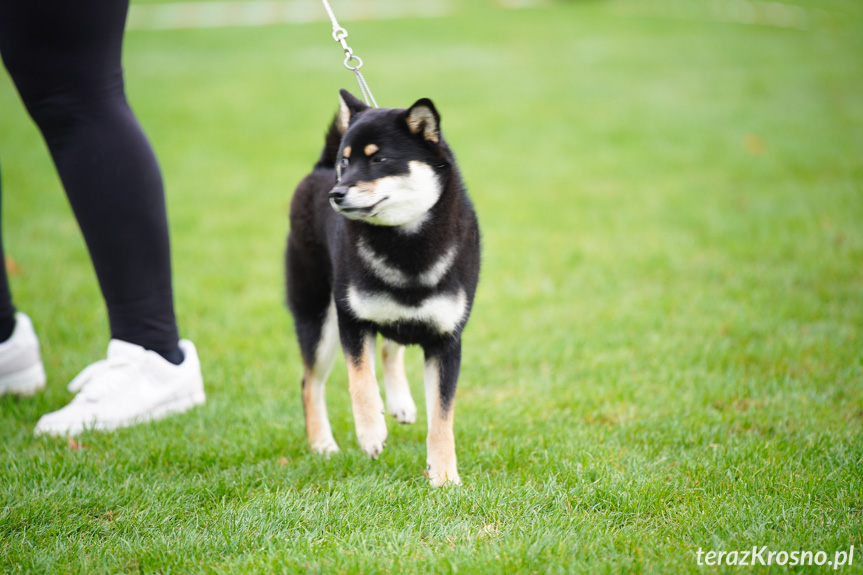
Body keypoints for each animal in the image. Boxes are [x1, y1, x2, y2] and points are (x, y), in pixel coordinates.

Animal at [286, 89, 482, 486]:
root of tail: (319, 169)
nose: (337, 193)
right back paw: (323, 444)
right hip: (319, 319)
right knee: (310, 384)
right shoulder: (352, 319)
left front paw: (444, 476)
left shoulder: (446, 339)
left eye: (380, 159)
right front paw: (371, 433)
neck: (406, 245)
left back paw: (400, 403)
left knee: (392, 347)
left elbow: (442, 416)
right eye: (346, 162)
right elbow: (361, 382)